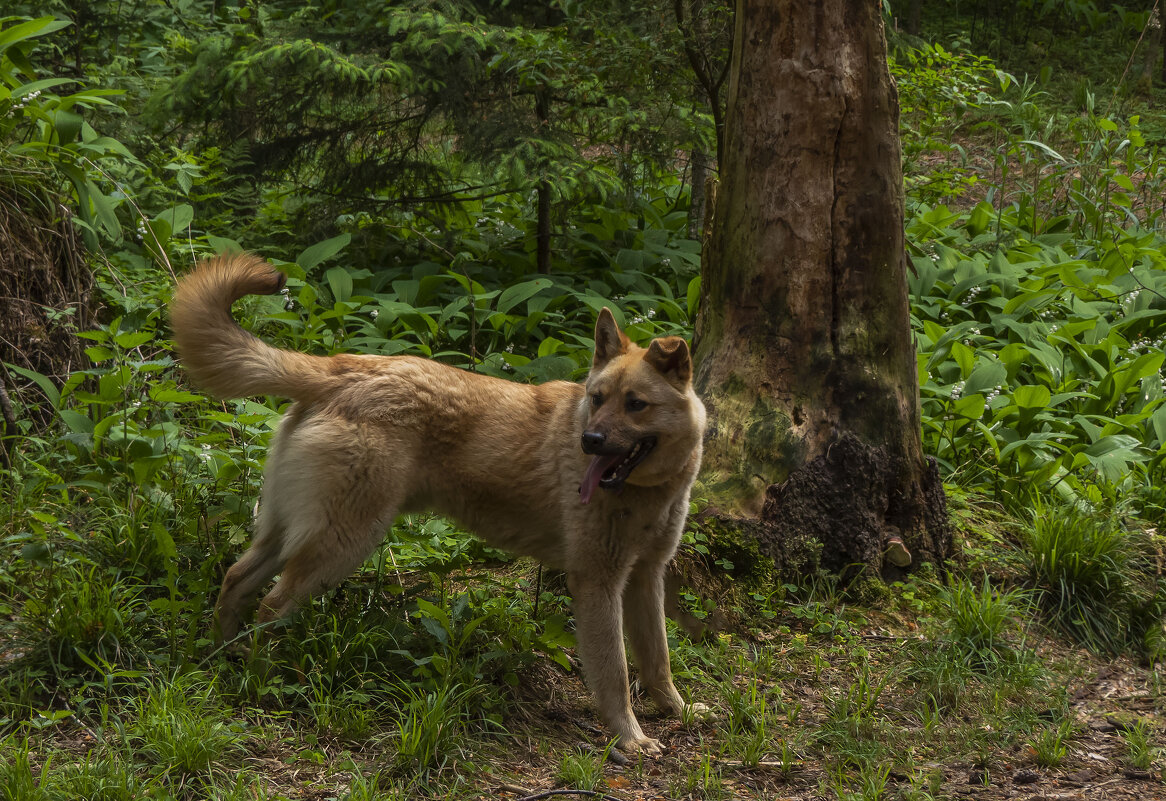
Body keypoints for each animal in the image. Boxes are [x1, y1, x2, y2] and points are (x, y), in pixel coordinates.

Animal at [169, 254, 704, 755]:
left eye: (635, 404)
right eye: (596, 398)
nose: (589, 441)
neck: (647, 492)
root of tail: (341, 368)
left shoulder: (645, 577)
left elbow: (658, 660)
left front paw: (678, 710)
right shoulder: (598, 583)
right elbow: (615, 674)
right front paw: (630, 738)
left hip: (290, 533)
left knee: (236, 581)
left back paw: (225, 660)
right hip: (341, 544)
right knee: (270, 606)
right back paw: (264, 677)